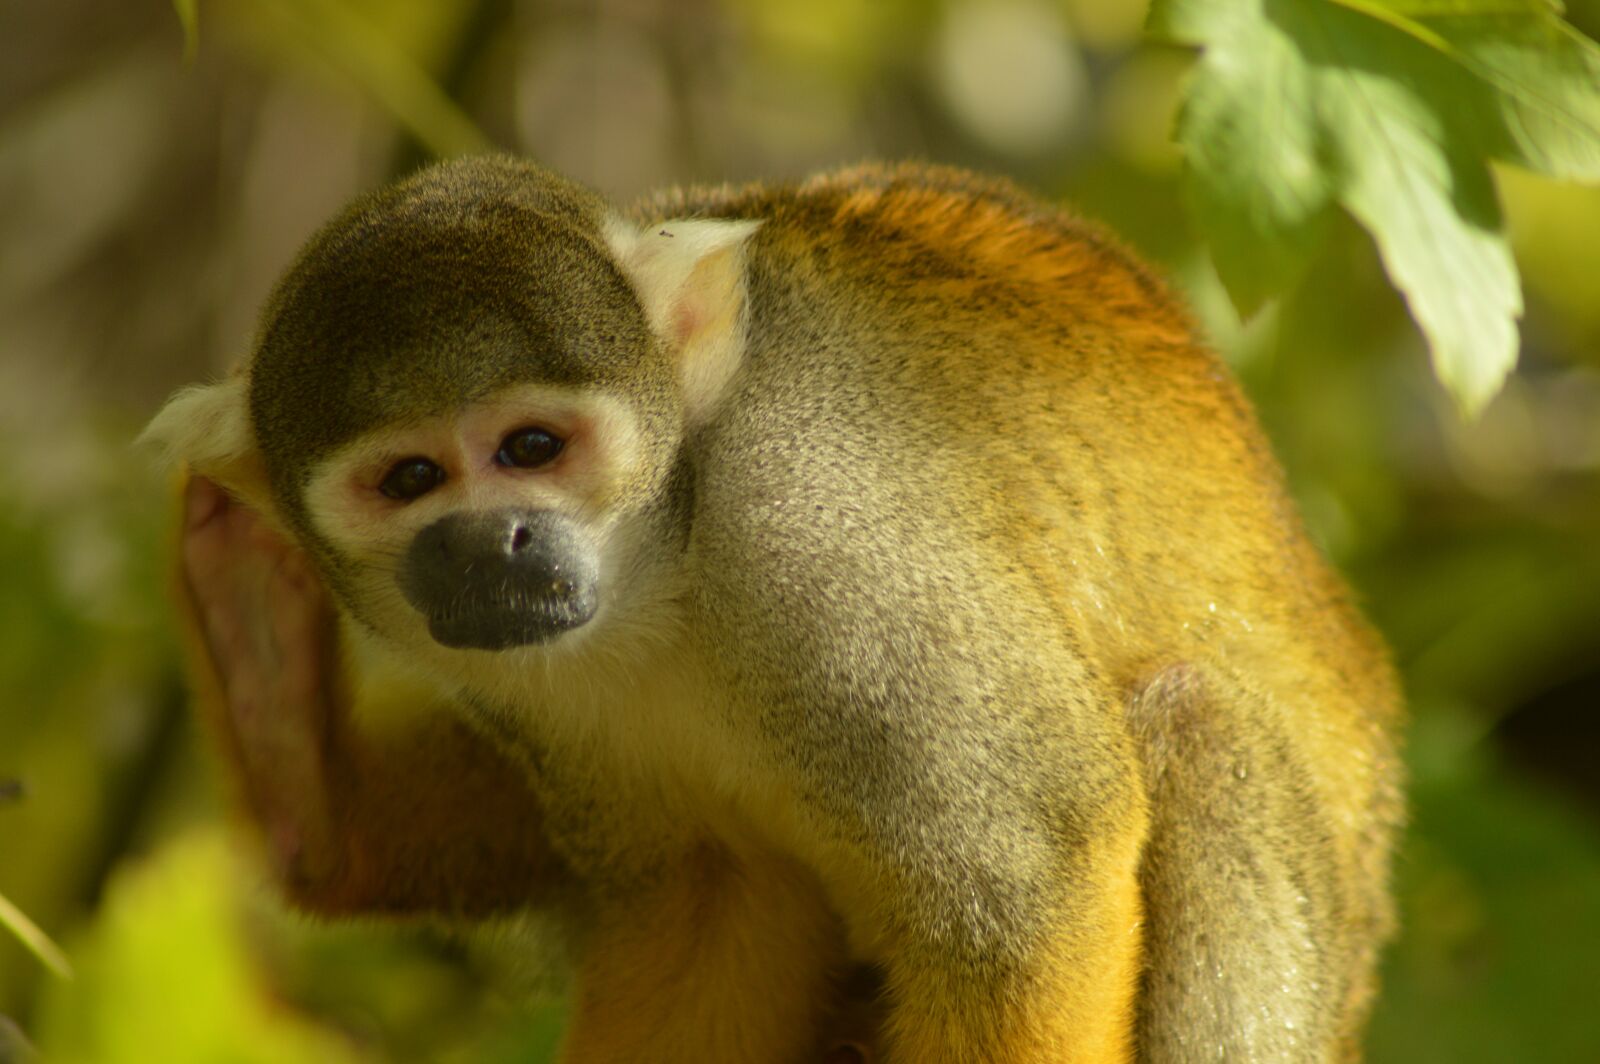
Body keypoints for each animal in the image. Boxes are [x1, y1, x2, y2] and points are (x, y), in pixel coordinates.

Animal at [143, 156, 1403, 1062]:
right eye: (410, 479)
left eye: (532, 448)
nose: (495, 543)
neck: (671, 572)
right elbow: (706, 900)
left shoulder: (829, 531)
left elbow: (1030, 878)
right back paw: (299, 771)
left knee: (1194, 723)